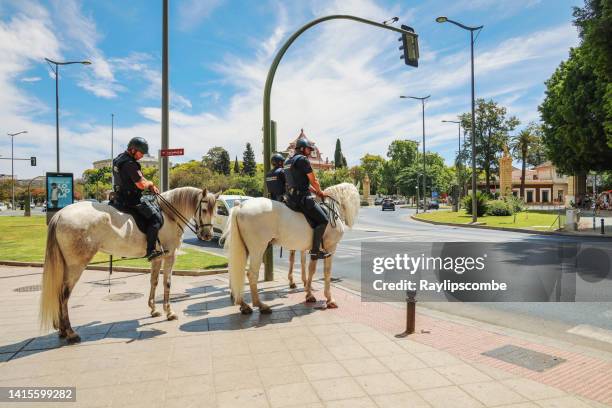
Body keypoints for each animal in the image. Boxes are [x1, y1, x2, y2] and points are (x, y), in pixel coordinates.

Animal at [38, 186, 218, 342]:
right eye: (204, 210)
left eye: (215, 211)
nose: (207, 235)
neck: (168, 214)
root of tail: (60, 214)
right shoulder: (170, 255)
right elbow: (167, 283)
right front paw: (169, 312)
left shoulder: (157, 258)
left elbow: (154, 281)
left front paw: (153, 309)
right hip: (75, 266)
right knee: (64, 294)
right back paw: (70, 332)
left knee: (59, 293)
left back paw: (62, 331)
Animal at [224, 183, 358, 314]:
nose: (350, 222)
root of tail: (241, 206)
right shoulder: (331, 248)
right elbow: (327, 272)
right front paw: (329, 299)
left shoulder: (314, 250)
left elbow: (311, 269)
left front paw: (309, 294)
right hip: (258, 248)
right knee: (251, 274)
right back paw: (260, 305)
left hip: (245, 248)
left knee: (238, 271)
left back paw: (243, 304)